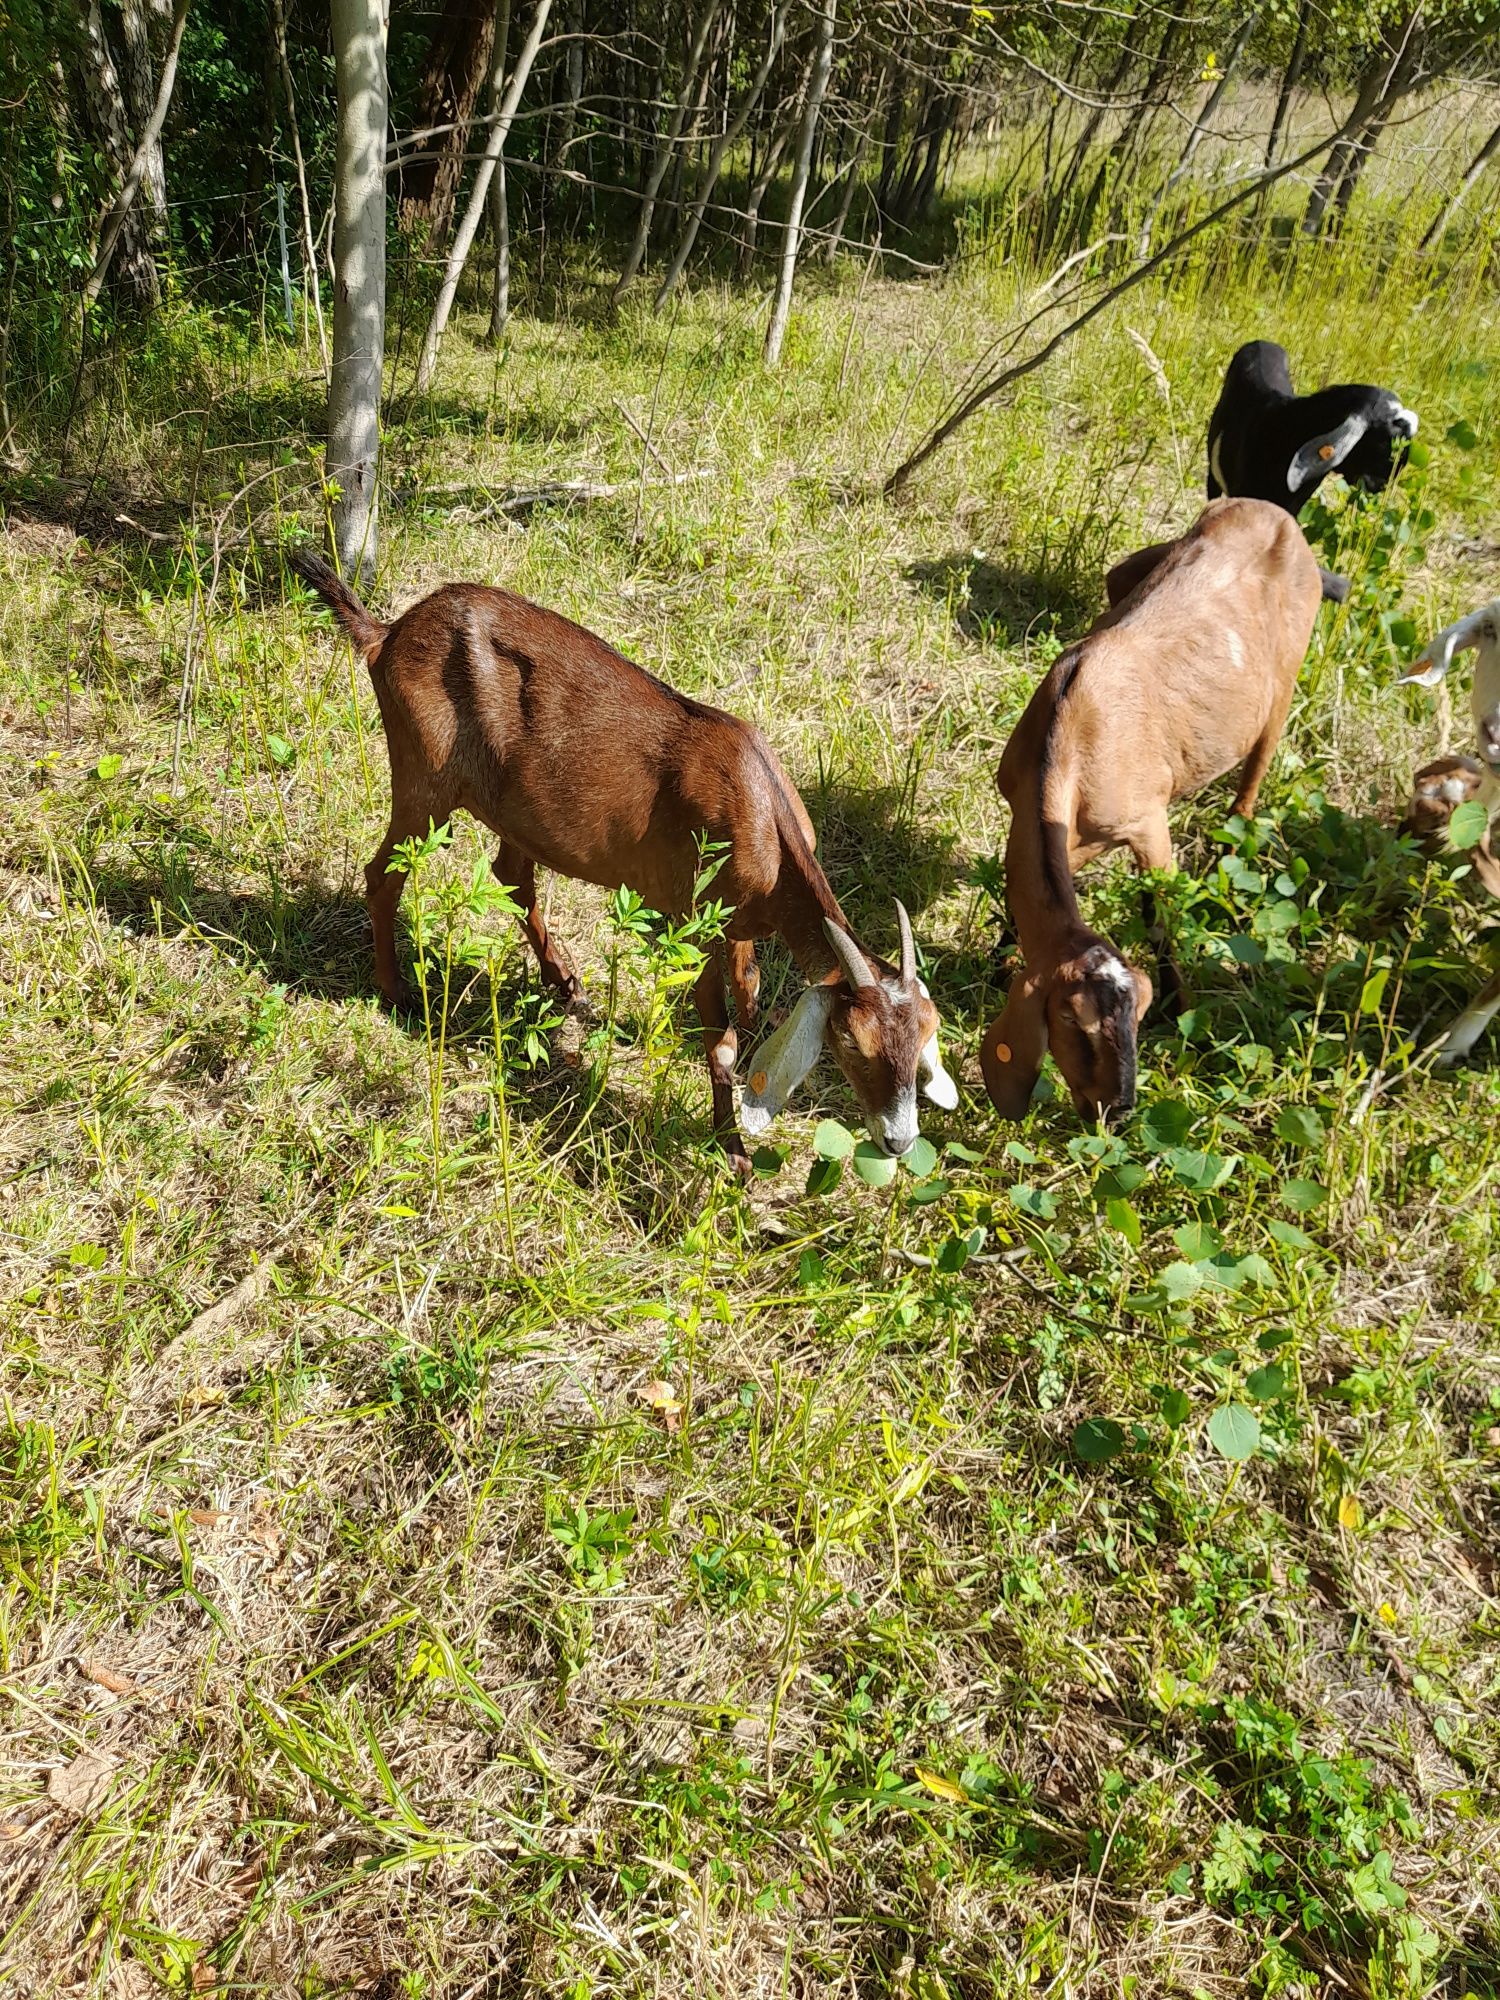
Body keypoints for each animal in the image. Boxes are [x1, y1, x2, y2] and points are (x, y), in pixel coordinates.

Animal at [288, 552, 956, 1168]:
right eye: (852, 1042)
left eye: (928, 1031)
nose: (899, 1141)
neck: (764, 815)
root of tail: (387, 634)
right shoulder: (694, 917)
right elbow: (720, 1039)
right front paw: (732, 1149)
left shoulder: (738, 921)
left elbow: (751, 989)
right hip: (425, 778)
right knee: (385, 874)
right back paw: (398, 992)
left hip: (512, 809)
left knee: (512, 877)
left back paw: (565, 983)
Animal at [988, 500, 1328, 1128]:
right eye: (1072, 1021)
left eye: (1138, 1015)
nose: (1118, 1110)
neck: (1071, 734)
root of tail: (1275, 512)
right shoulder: (1034, 816)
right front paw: (997, 957)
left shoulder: (1148, 823)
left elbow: (1159, 913)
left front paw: (1180, 1004)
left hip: (1284, 685)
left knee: (1255, 774)